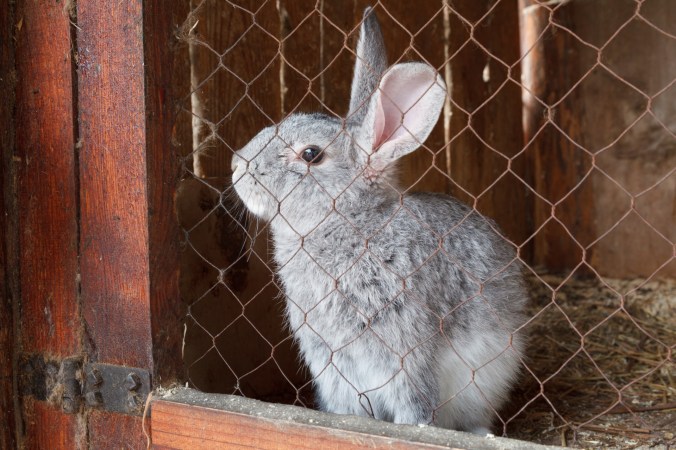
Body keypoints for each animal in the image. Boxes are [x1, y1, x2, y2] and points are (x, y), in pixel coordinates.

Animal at [231, 7, 527, 435]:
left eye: (310, 154)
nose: (237, 165)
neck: (351, 223)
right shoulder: (333, 366)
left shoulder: (408, 354)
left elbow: (415, 404)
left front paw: (410, 430)